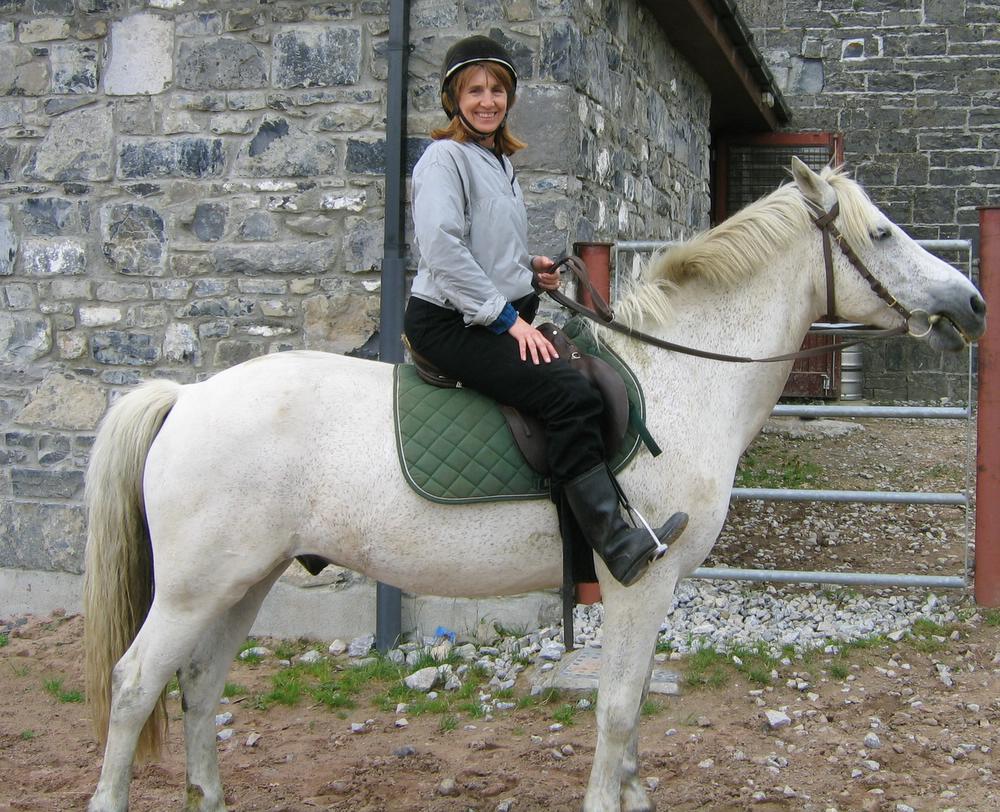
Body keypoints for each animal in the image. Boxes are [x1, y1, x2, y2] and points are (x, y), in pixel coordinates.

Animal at [83, 158, 985, 812]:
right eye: (883, 232)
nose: (973, 303)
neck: (680, 378)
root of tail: (187, 397)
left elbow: (632, 711)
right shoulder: (638, 583)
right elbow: (617, 707)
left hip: (244, 580)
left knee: (199, 685)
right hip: (195, 589)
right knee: (132, 686)